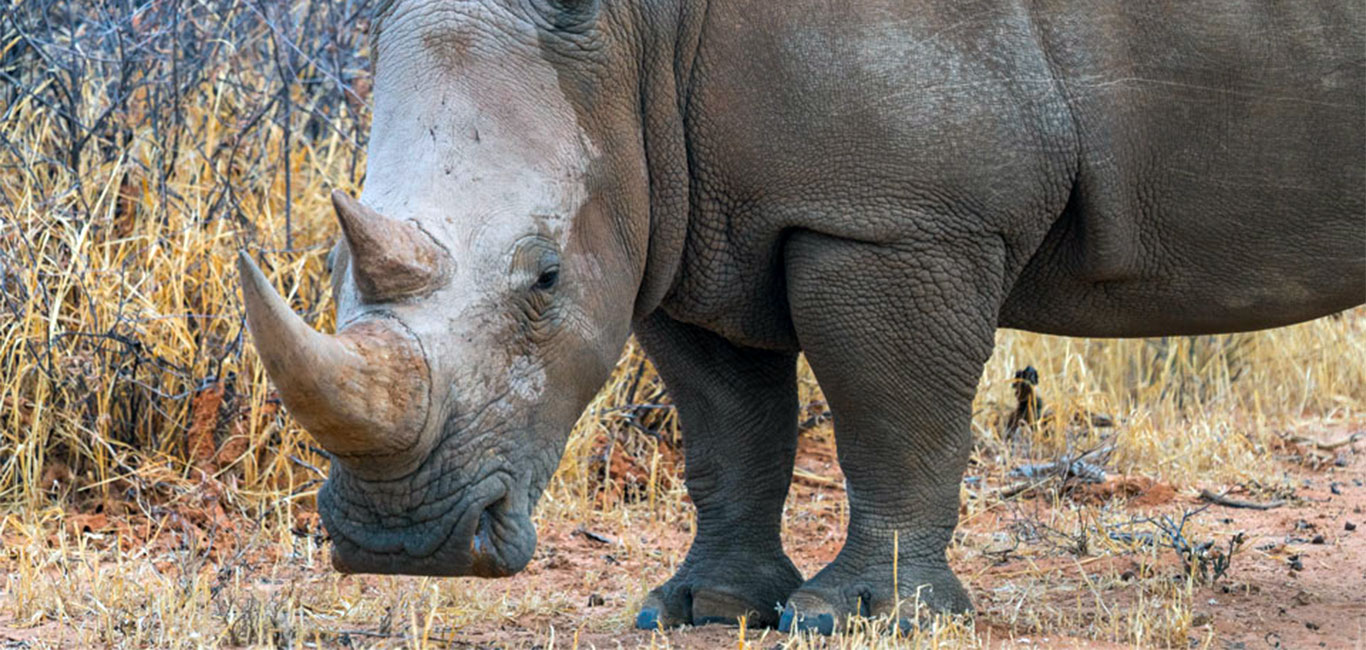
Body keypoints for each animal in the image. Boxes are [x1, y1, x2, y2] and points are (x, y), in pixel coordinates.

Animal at [236, 0, 1365, 634]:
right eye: (331, 263)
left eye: (546, 278)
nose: (403, 543)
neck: (638, 33)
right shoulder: (682, 210)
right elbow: (728, 433)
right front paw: (700, 609)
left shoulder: (894, 216)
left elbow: (890, 419)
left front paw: (860, 616)